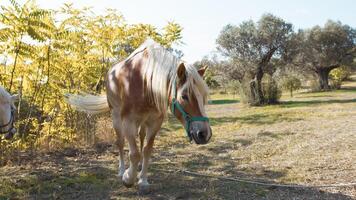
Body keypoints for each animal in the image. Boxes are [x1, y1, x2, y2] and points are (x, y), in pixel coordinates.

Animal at [66, 39, 211, 192]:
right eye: (184, 96)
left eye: (204, 96)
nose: (204, 134)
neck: (145, 83)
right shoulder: (128, 122)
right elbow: (134, 153)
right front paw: (128, 177)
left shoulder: (154, 122)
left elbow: (147, 150)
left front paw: (143, 180)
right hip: (116, 117)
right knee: (120, 142)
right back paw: (121, 170)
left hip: (142, 122)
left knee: (141, 138)